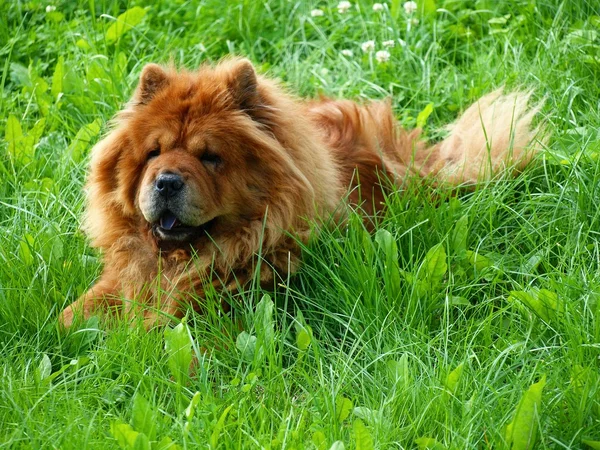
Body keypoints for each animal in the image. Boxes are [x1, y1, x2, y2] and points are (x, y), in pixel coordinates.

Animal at [57, 58, 544, 328]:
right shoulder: (122, 277)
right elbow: (72, 314)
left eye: (210, 157)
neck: (181, 259)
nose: (166, 181)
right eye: (153, 153)